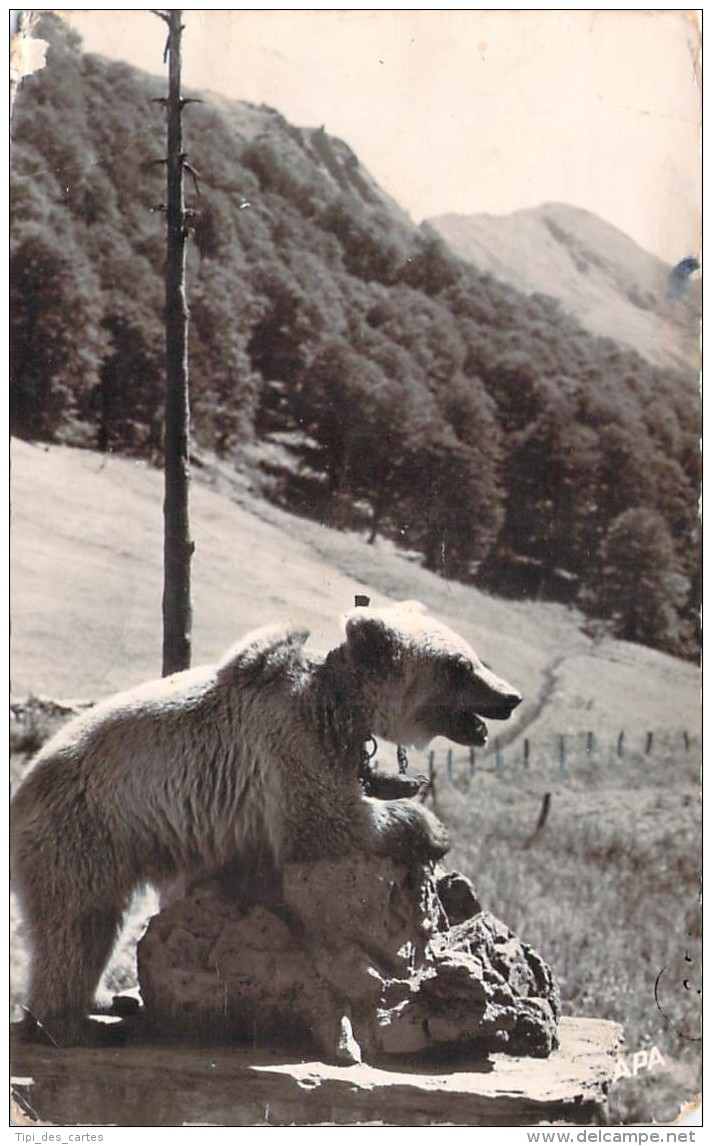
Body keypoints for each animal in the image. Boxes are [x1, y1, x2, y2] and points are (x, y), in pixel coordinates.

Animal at [11, 605, 518, 1045]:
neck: (336, 705)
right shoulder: (288, 742)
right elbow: (322, 819)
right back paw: (73, 1022)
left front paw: (401, 781)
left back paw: (106, 1001)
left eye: (473, 656)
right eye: (459, 666)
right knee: (78, 923)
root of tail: (22, 789)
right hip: (87, 828)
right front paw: (432, 829)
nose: (510, 697)